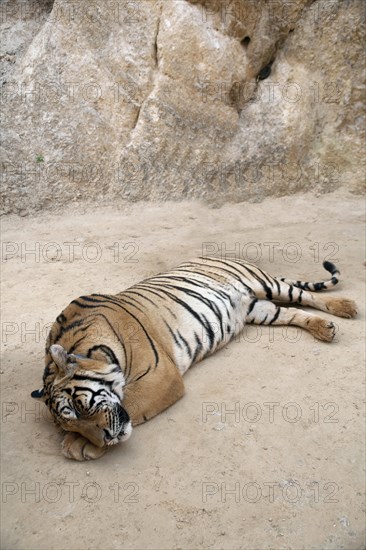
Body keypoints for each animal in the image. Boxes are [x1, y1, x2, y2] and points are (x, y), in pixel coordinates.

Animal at [32, 258, 358, 462]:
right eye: (70, 425)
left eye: (80, 407)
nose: (104, 439)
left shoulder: (160, 376)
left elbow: (131, 401)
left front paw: (78, 447)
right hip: (261, 309)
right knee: (292, 312)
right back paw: (325, 328)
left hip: (265, 284)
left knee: (305, 295)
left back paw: (346, 306)